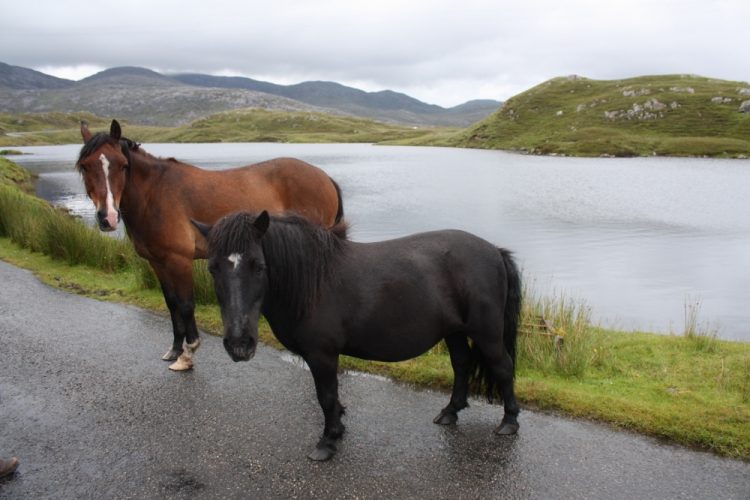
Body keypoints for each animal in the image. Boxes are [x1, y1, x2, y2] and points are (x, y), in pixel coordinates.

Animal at [77, 120, 344, 371]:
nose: (108, 218)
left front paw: (187, 354)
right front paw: (174, 350)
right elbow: (172, 304)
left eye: (123, 165)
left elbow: (186, 305)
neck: (155, 195)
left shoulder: (179, 261)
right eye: (85, 166)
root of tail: (325, 177)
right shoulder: (158, 262)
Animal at [194, 210, 522, 461]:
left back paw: (509, 421)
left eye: (259, 266)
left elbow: (326, 396)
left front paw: (327, 443)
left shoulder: (322, 355)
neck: (312, 282)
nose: (239, 344)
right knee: (461, 365)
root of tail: (494, 251)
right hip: (454, 331)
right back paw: (450, 412)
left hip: (487, 333)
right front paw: (338, 428)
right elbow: (332, 398)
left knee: (503, 367)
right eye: (212, 269)